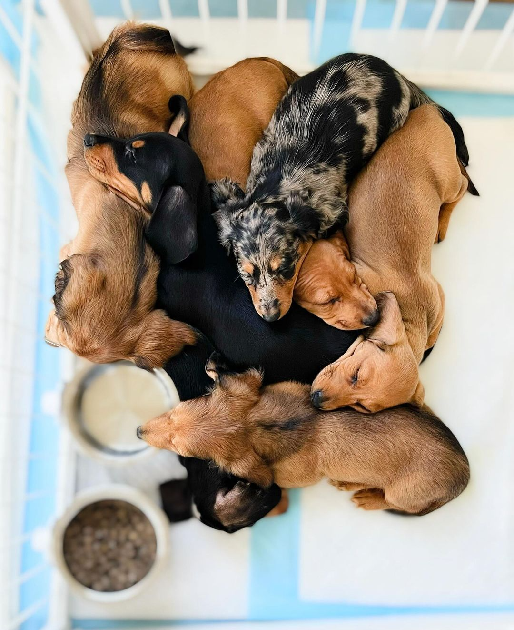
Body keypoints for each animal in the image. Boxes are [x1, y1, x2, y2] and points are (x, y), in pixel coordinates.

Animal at [137, 355, 470, 516]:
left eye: (181, 449)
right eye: (173, 412)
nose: (139, 432)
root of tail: (465, 476)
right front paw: (216, 369)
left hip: (403, 494)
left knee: (392, 502)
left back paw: (369, 498)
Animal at [310, 105, 472, 413]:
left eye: (362, 408)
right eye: (357, 373)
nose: (316, 399)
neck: (411, 315)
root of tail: (431, 110)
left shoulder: (438, 297)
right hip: (449, 180)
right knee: (463, 183)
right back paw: (442, 224)